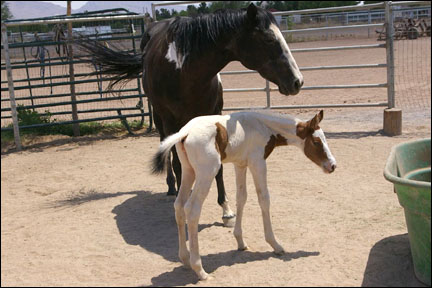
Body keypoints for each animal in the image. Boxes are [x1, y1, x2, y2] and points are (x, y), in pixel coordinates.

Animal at [77, 3, 302, 226]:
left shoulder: (213, 116)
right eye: (269, 39)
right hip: (160, 118)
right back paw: (172, 188)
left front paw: (226, 210)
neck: (184, 70)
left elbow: (219, 167)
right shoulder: (170, 121)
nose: (297, 81)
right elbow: (177, 163)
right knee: (167, 151)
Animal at [152, 109, 338, 280]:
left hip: (189, 171)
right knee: (192, 209)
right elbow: (264, 198)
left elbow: (241, 198)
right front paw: (276, 245)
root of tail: (185, 132)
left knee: (179, 206)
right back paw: (200, 270)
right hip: (207, 172)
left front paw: (240, 242)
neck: (262, 126)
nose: (332, 166)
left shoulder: (240, 164)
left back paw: (185, 259)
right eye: (316, 142)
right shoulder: (258, 162)